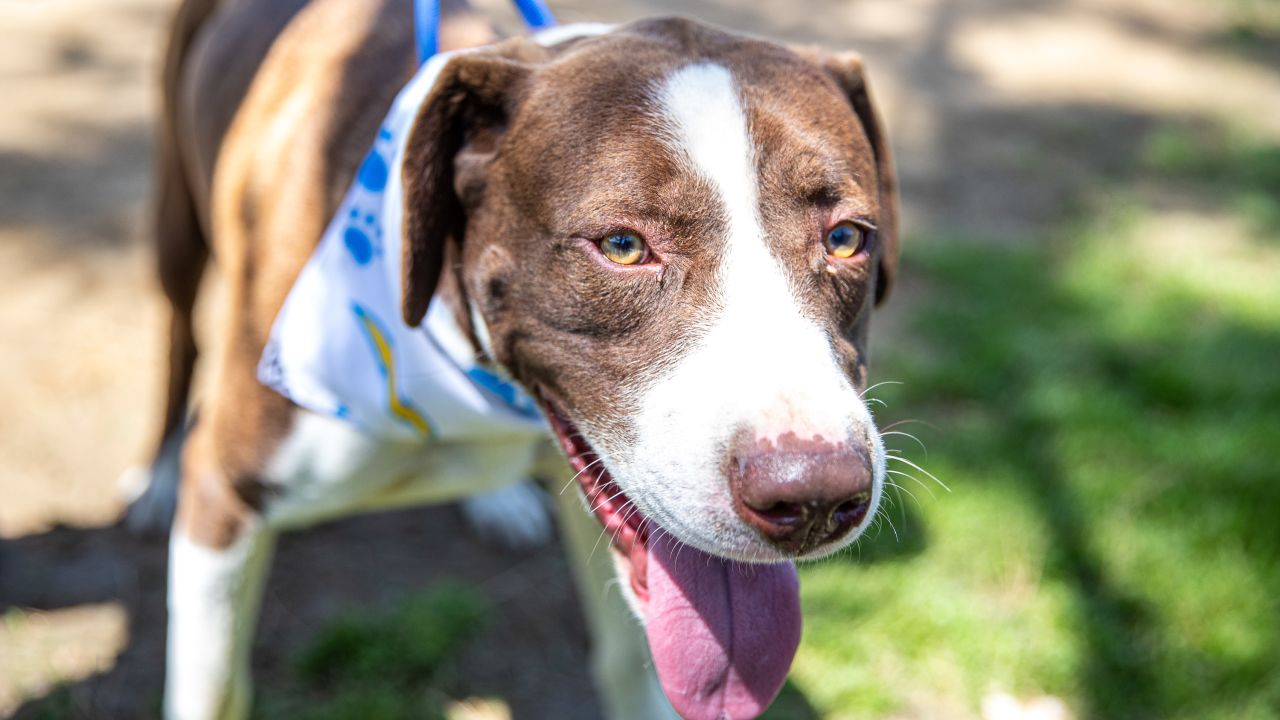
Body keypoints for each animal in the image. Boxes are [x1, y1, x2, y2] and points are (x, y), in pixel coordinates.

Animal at [132, 2, 901, 712]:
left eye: (846, 238)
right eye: (622, 246)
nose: (813, 496)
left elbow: (628, 668)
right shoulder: (225, 504)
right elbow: (214, 691)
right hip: (175, 221)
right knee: (176, 334)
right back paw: (155, 476)